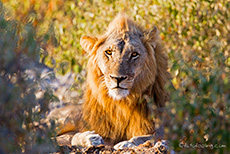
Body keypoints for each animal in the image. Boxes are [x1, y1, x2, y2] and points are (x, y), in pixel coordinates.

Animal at [49, 13, 170, 149]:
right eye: (108, 52)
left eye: (134, 54)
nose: (118, 78)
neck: (123, 104)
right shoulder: (108, 135)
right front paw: (91, 138)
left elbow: (147, 136)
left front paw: (126, 143)